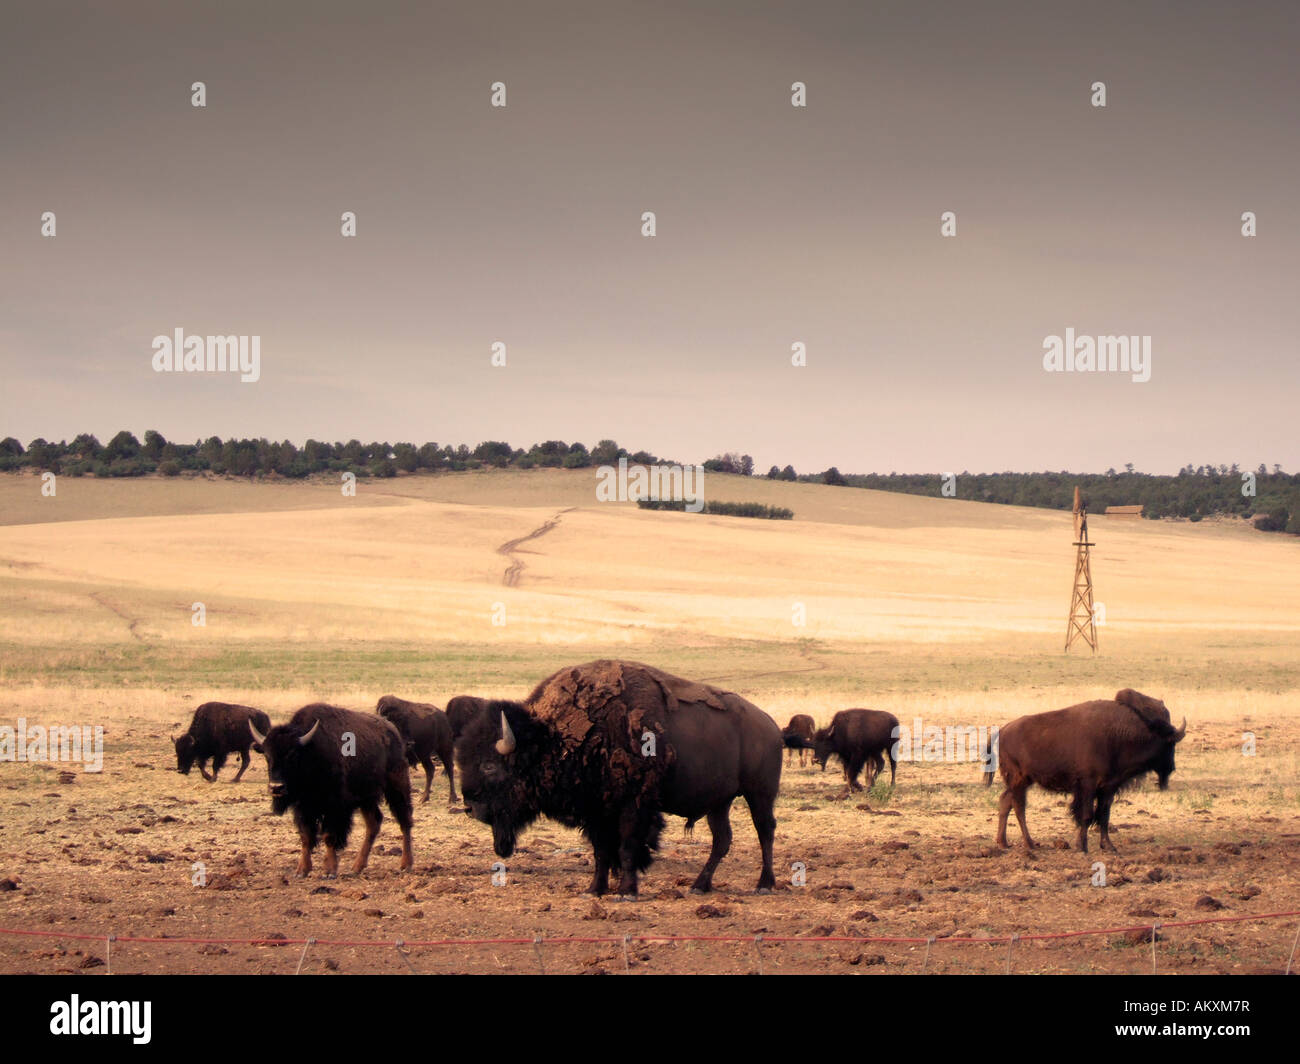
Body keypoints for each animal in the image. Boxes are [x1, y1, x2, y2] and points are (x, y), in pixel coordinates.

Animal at [249, 704, 414, 876]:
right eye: (267, 756)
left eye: (292, 755)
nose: (276, 787)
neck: (311, 751)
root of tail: (392, 730)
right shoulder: (303, 808)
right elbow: (306, 837)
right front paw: (302, 870)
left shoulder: (335, 807)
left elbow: (329, 836)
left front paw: (329, 871)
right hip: (366, 798)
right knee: (373, 823)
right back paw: (357, 867)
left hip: (396, 787)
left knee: (405, 821)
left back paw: (405, 865)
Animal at [456, 660, 782, 896]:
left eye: (489, 766)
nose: (470, 807)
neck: (552, 737)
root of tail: (769, 724)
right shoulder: (597, 811)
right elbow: (601, 851)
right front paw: (594, 890)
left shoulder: (632, 805)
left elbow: (627, 847)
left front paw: (627, 892)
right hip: (719, 802)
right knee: (722, 839)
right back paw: (699, 886)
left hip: (759, 794)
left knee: (765, 831)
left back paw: (764, 885)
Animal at [985, 688, 1186, 853]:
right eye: (1170, 745)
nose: (1171, 768)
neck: (1118, 735)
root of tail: (1002, 731)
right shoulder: (1088, 786)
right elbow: (1087, 815)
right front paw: (1082, 846)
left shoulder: (1108, 787)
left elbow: (1104, 815)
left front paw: (1108, 846)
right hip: (1019, 780)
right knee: (1019, 807)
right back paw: (1029, 844)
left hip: (1021, 782)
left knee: (1006, 802)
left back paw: (1003, 843)